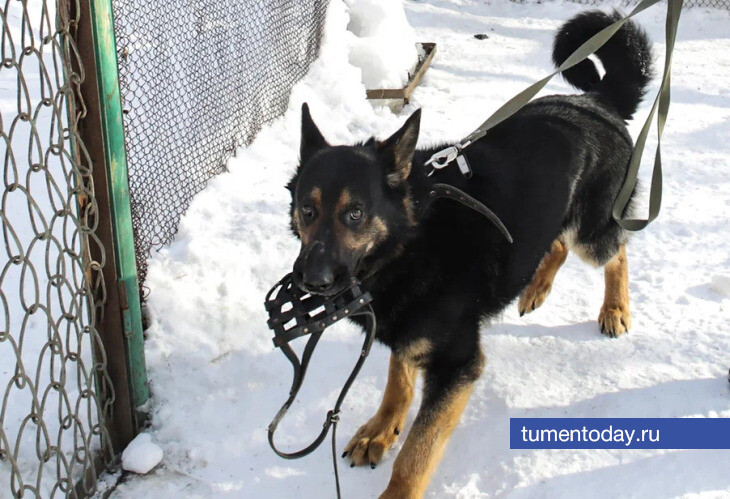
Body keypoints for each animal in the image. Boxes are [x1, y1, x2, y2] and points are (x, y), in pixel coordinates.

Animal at [282, 9, 648, 498]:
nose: (313, 280)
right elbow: (398, 377)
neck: (413, 239)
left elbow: (417, 452)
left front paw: (398, 480)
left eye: (355, 213)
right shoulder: (410, 327)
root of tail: (596, 102)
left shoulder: (458, 365)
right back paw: (535, 288)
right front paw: (383, 426)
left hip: (592, 234)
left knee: (616, 252)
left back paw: (615, 308)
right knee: (554, 244)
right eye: (308, 209)